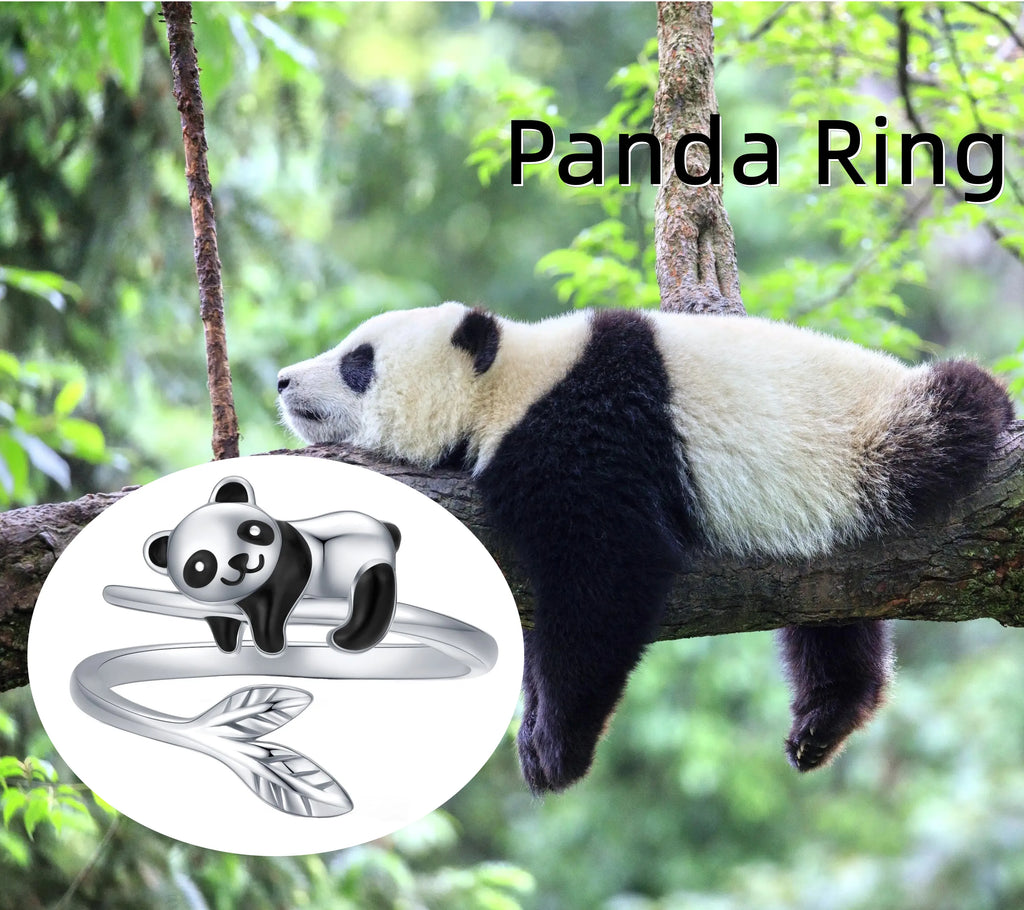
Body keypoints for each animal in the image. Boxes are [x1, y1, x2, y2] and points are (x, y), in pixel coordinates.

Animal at [143, 475, 402, 657]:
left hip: (368, 559)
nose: (241, 562)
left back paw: (344, 639)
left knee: (374, 590)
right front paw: (228, 645)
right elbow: (221, 620)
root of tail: (384, 531)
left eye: (253, 530)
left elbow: (280, 597)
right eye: (200, 566)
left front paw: (269, 642)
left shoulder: (291, 553)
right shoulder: (217, 604)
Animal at [276, 302, 1014, 793]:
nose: (282, 380)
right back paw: (825, 718)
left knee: (955, 408)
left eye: (357, 362)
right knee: (832, 614)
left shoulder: (586, 432)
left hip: (874, 439)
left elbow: (609, 573)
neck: (509, 382)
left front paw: (552, 749)